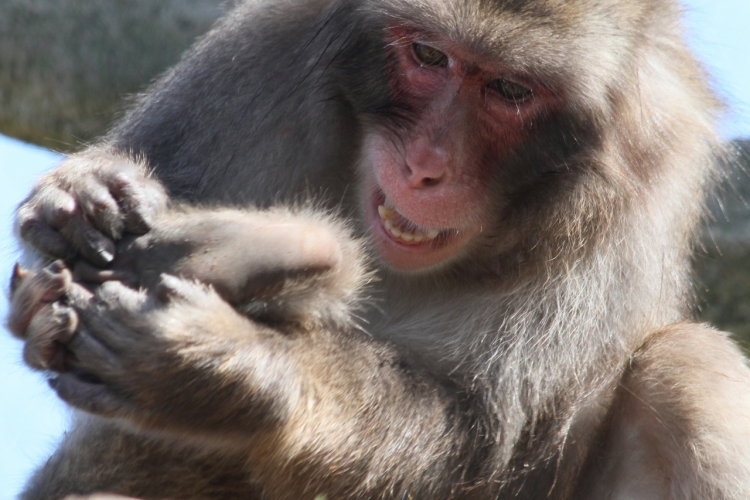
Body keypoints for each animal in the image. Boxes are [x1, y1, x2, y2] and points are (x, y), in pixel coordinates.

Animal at [5, 0, 750, 498]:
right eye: (428, 56)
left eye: (510, 90)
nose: (427, 166)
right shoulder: (267, 51)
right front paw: (78, 201)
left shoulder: (645, 174)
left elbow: (484, 448)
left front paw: (230, 375)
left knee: (686, 365)